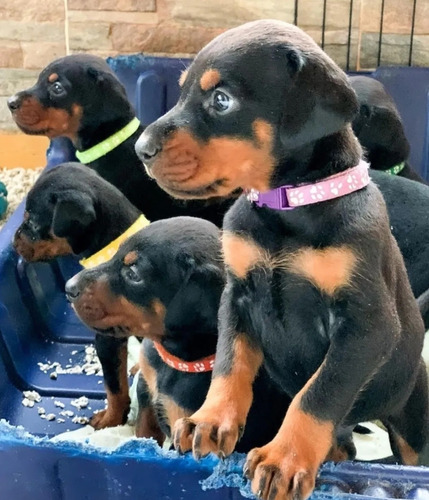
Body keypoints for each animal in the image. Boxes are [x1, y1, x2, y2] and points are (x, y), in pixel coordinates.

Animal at [64, 217, 290, 452]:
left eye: (133, 274)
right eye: (116, 253)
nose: (68, 288)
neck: (176, 361)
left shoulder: (184, 433)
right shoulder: (147, 387)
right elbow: (144, 429)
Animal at [135, 19, 428, 500]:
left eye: (221, 100)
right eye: (180, 94)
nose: (141, 149)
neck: (287, 207)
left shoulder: (365, 325)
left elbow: (318, 393)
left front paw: (284, 459)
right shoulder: (237, 294)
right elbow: (230, 361)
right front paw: (210, 421)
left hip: (409, 413)